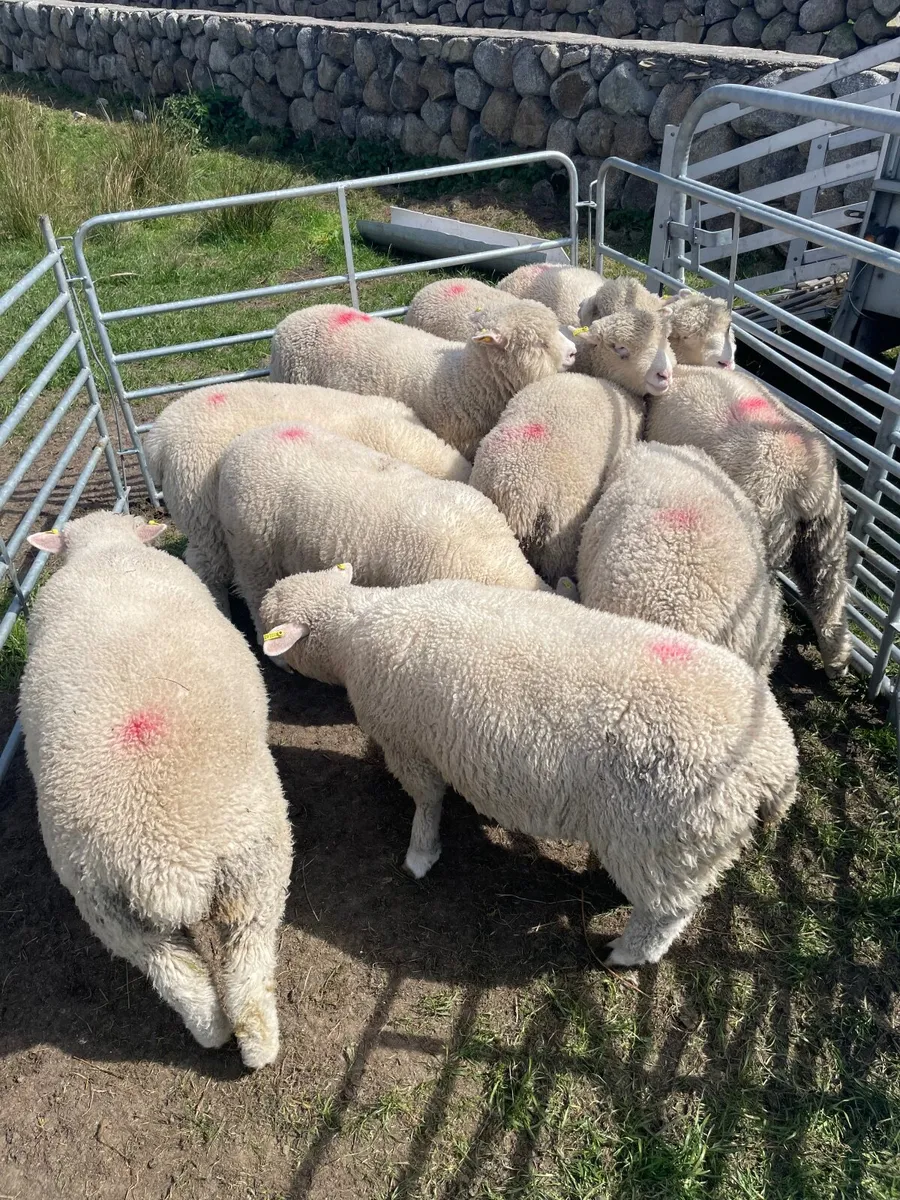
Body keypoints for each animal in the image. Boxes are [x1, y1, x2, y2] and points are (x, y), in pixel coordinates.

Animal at [19, 513, 292, 1068]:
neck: (105, 552)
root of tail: (168, 865)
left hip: (108, 904)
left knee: (175, 972)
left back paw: (215, 1032)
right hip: (254, 864)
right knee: (245, 959)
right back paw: (257, 1045)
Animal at [259, 567, 798, 966]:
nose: (271, 669)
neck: (359, 626)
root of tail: (773, 763)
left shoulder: (409, 746)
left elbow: (427, 802)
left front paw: (420, 854)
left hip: (664, 839)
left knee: (665, 915)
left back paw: (624, 954)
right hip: (675, 847)